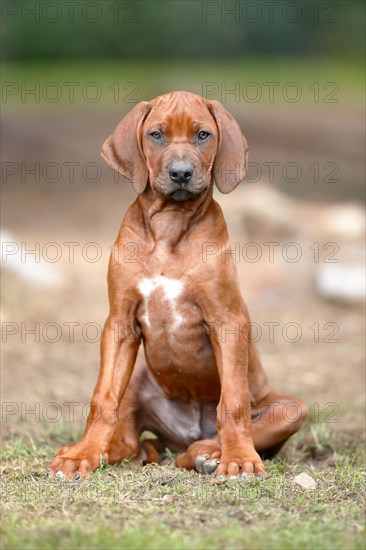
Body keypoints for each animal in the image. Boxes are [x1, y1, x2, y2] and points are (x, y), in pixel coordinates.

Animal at [47, 92, 308, 480]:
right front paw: (83, 454)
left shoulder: (227, 321)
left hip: (290, 408)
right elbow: (103, 398)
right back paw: (110, 451)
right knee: (131, 441)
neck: (170, 225)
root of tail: (185, 434)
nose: (181, 173)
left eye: (202, 135)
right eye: (156, 135)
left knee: (213, 436)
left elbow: (233, 401)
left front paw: (239, 458)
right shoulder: (119, 323)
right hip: (137, 374)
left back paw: (210, 453)